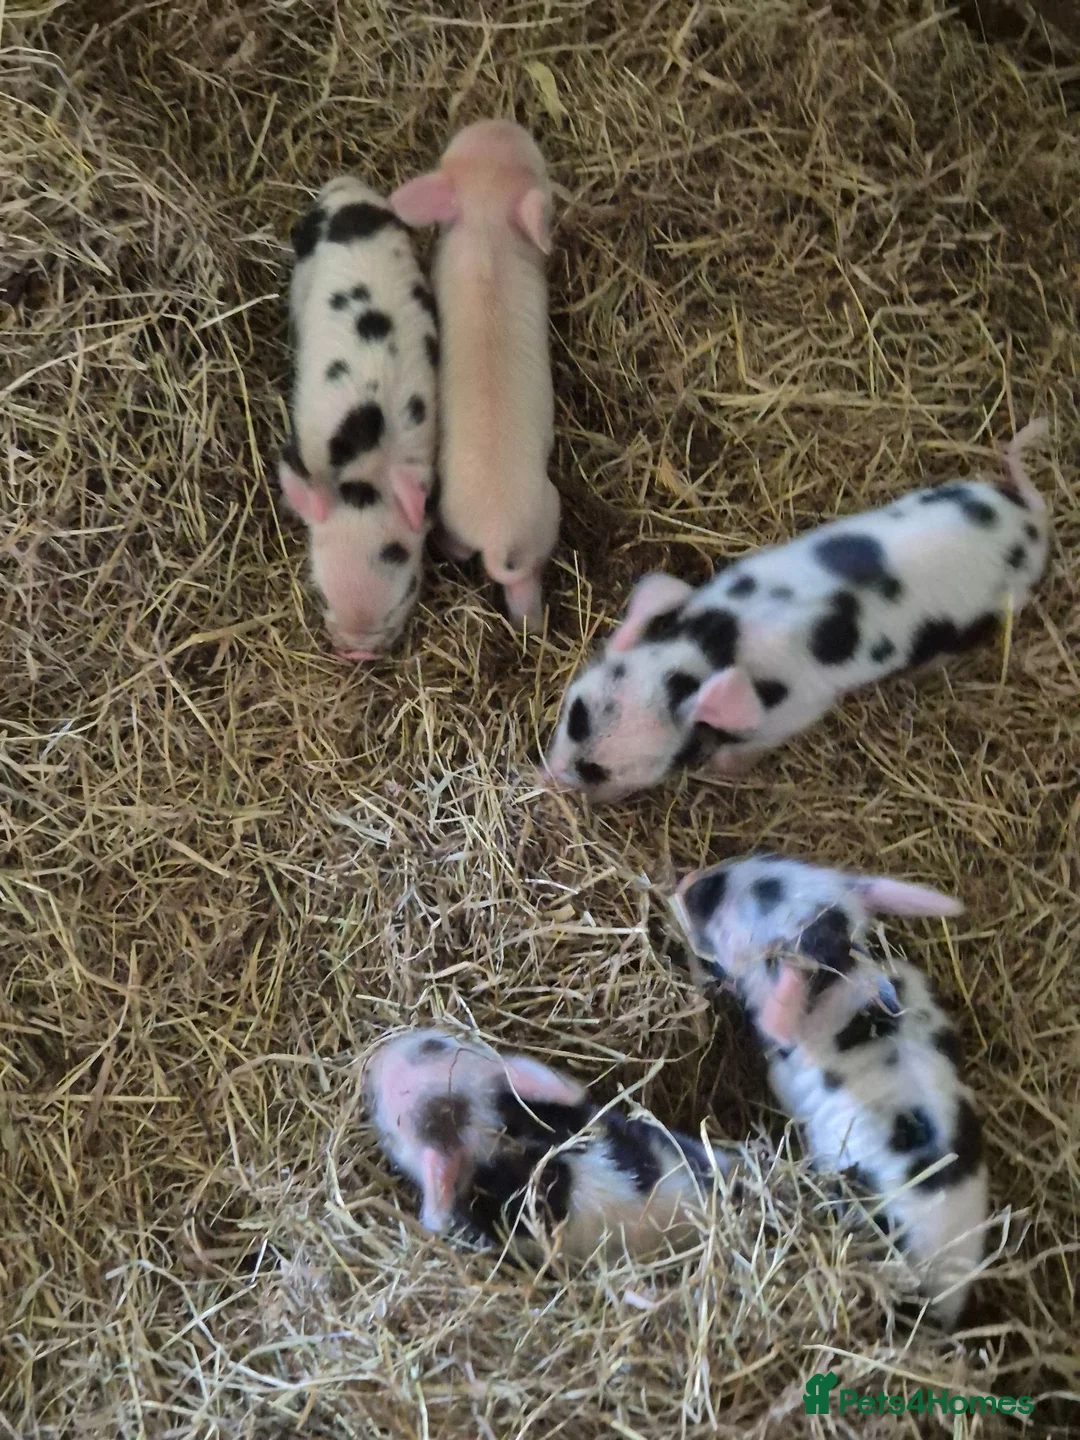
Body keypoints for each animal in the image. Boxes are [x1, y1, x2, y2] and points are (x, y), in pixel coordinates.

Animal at [389, 119, 560, 629]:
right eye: (537, 167)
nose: (500, 123)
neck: (486, 231)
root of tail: (496, 533)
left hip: (453, 516)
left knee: (459, 549)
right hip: (547, 513)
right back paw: (535, 624)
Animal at [543, 420, 1050, 801]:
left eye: (598, 770)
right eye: (575, 713)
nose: (549, 775)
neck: (713, 642)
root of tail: (1031, 524)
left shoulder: (799, 708)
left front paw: (722, 766)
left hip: (990, 612)